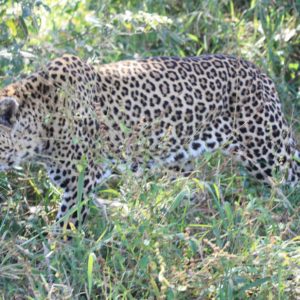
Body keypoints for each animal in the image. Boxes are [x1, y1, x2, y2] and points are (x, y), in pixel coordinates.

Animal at [0, 54, 298, 231]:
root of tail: (260, 72)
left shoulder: (80, 180)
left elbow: (67, 226)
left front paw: (58, 259)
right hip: (181, 158)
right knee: (196, 187)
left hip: (266, 151)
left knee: (290, 172)